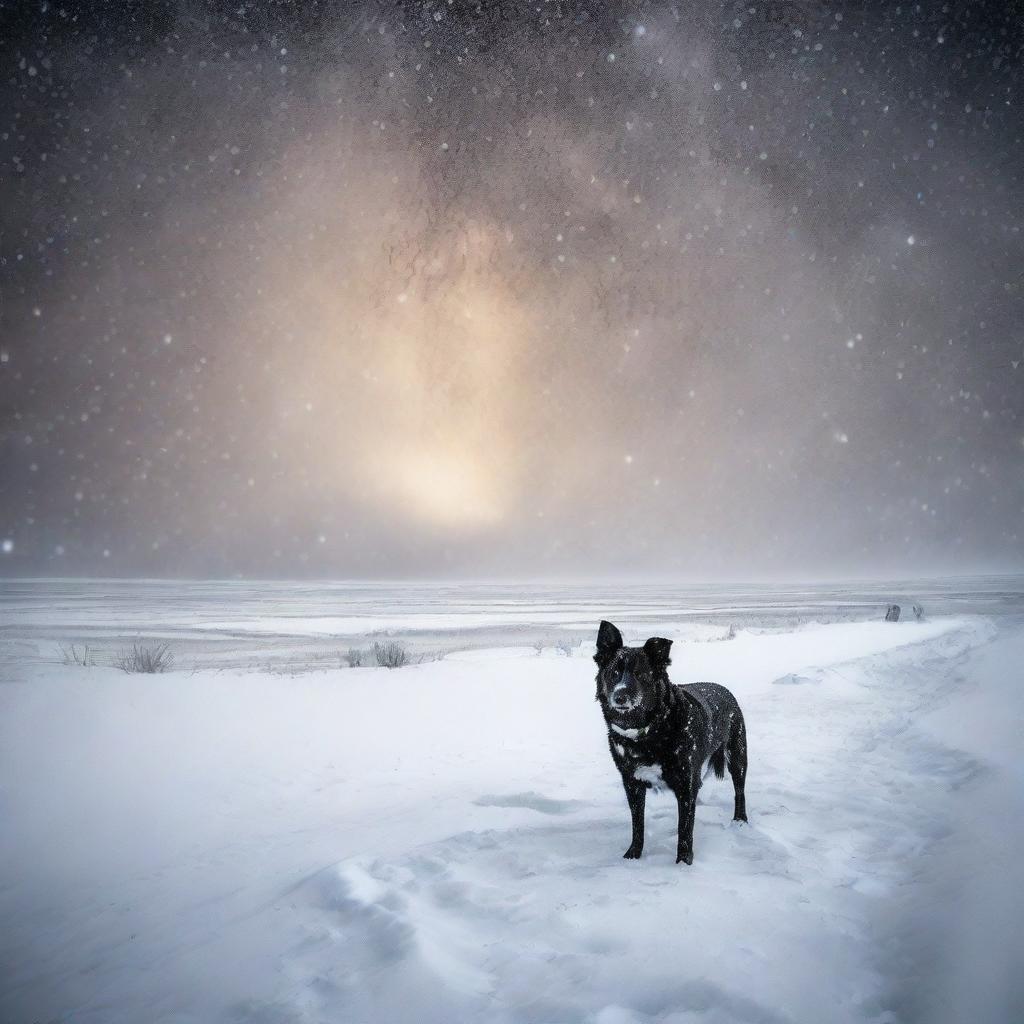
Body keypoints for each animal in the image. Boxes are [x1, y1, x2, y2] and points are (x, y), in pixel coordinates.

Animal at [593, 618, 745, 860]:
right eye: (613, 673)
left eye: (640, 675)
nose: (620, 696)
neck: (649, 731)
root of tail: (722, 688)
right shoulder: (631, 782)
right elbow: (638, 824)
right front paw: (633, 856)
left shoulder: (685, 784)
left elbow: (685, 831)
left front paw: (683, 863)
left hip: (737, 755)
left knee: (740, 792)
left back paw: (740, 821)